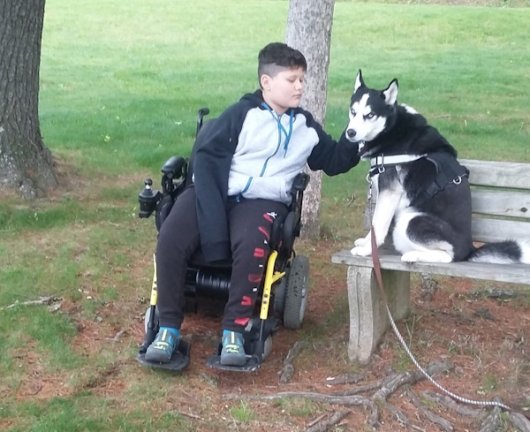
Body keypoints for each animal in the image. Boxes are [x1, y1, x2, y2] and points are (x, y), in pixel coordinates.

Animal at [344, 71, 524, 264]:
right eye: (353, 112)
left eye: (370, 115)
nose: (350, 133)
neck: (391, 129)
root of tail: (469, 249)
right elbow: (374, 225)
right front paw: (365, 242)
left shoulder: (390, 191)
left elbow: (378, 225)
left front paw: (366, 250)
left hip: (411, 221)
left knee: (448, 256)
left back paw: (413, 255)